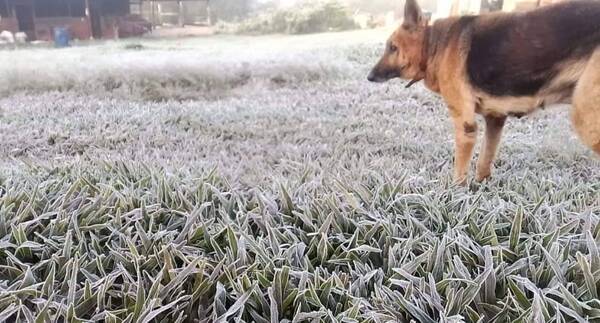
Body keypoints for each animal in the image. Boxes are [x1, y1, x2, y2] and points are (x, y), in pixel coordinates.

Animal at [368, 0, 600, 185]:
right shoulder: (495, 120)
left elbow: (460, 171)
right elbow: (485, 158)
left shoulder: (466, 126)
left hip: (585, 119)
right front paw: (482, 188)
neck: (434, 45)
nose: (369, 76)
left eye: (392, 47)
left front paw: (455, 198)